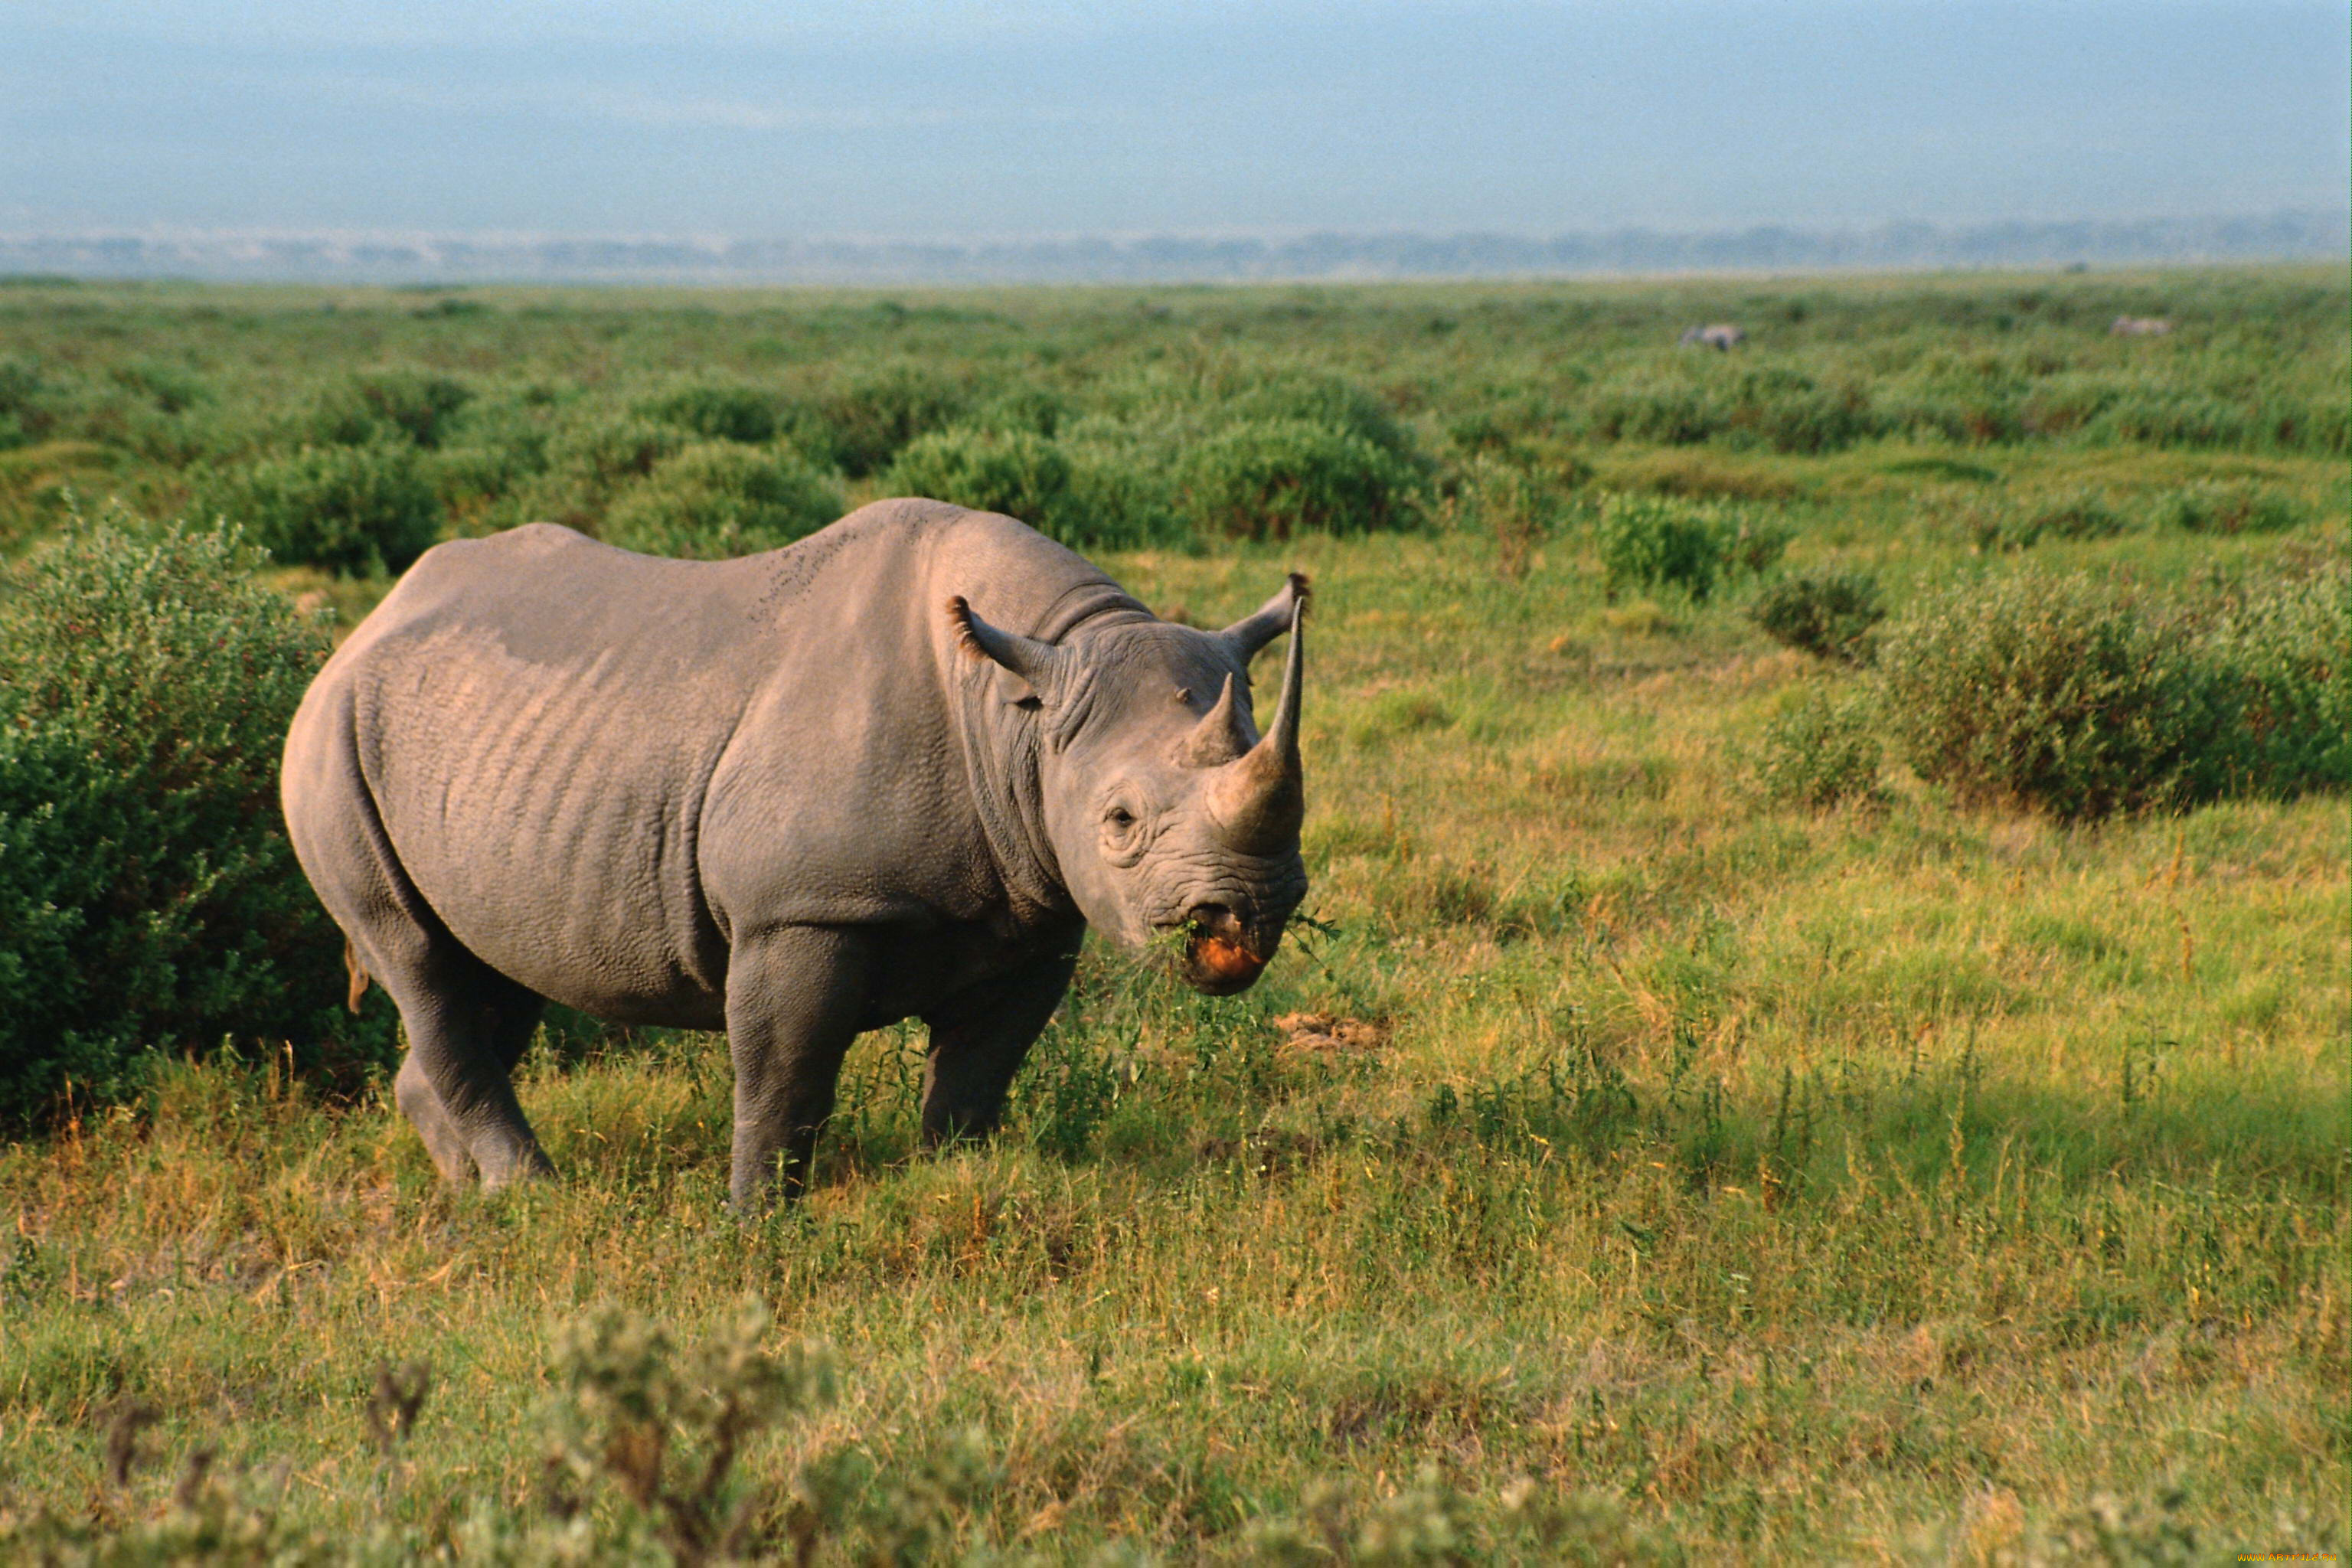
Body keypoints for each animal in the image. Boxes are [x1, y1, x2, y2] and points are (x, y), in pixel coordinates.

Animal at [284, 501, 1317, 1204]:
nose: (1243, 914)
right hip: (327, 745)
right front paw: (756, 1222)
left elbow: (977, 1071)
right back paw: (534, 1196)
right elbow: (786, 1073)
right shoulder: (801, 908)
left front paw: (950, 1182)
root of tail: (363, 625)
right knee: (419, 960)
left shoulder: (1036, 914)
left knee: (495, 971)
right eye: (1120, 821)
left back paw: (471, 1190)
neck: (1022, 706)